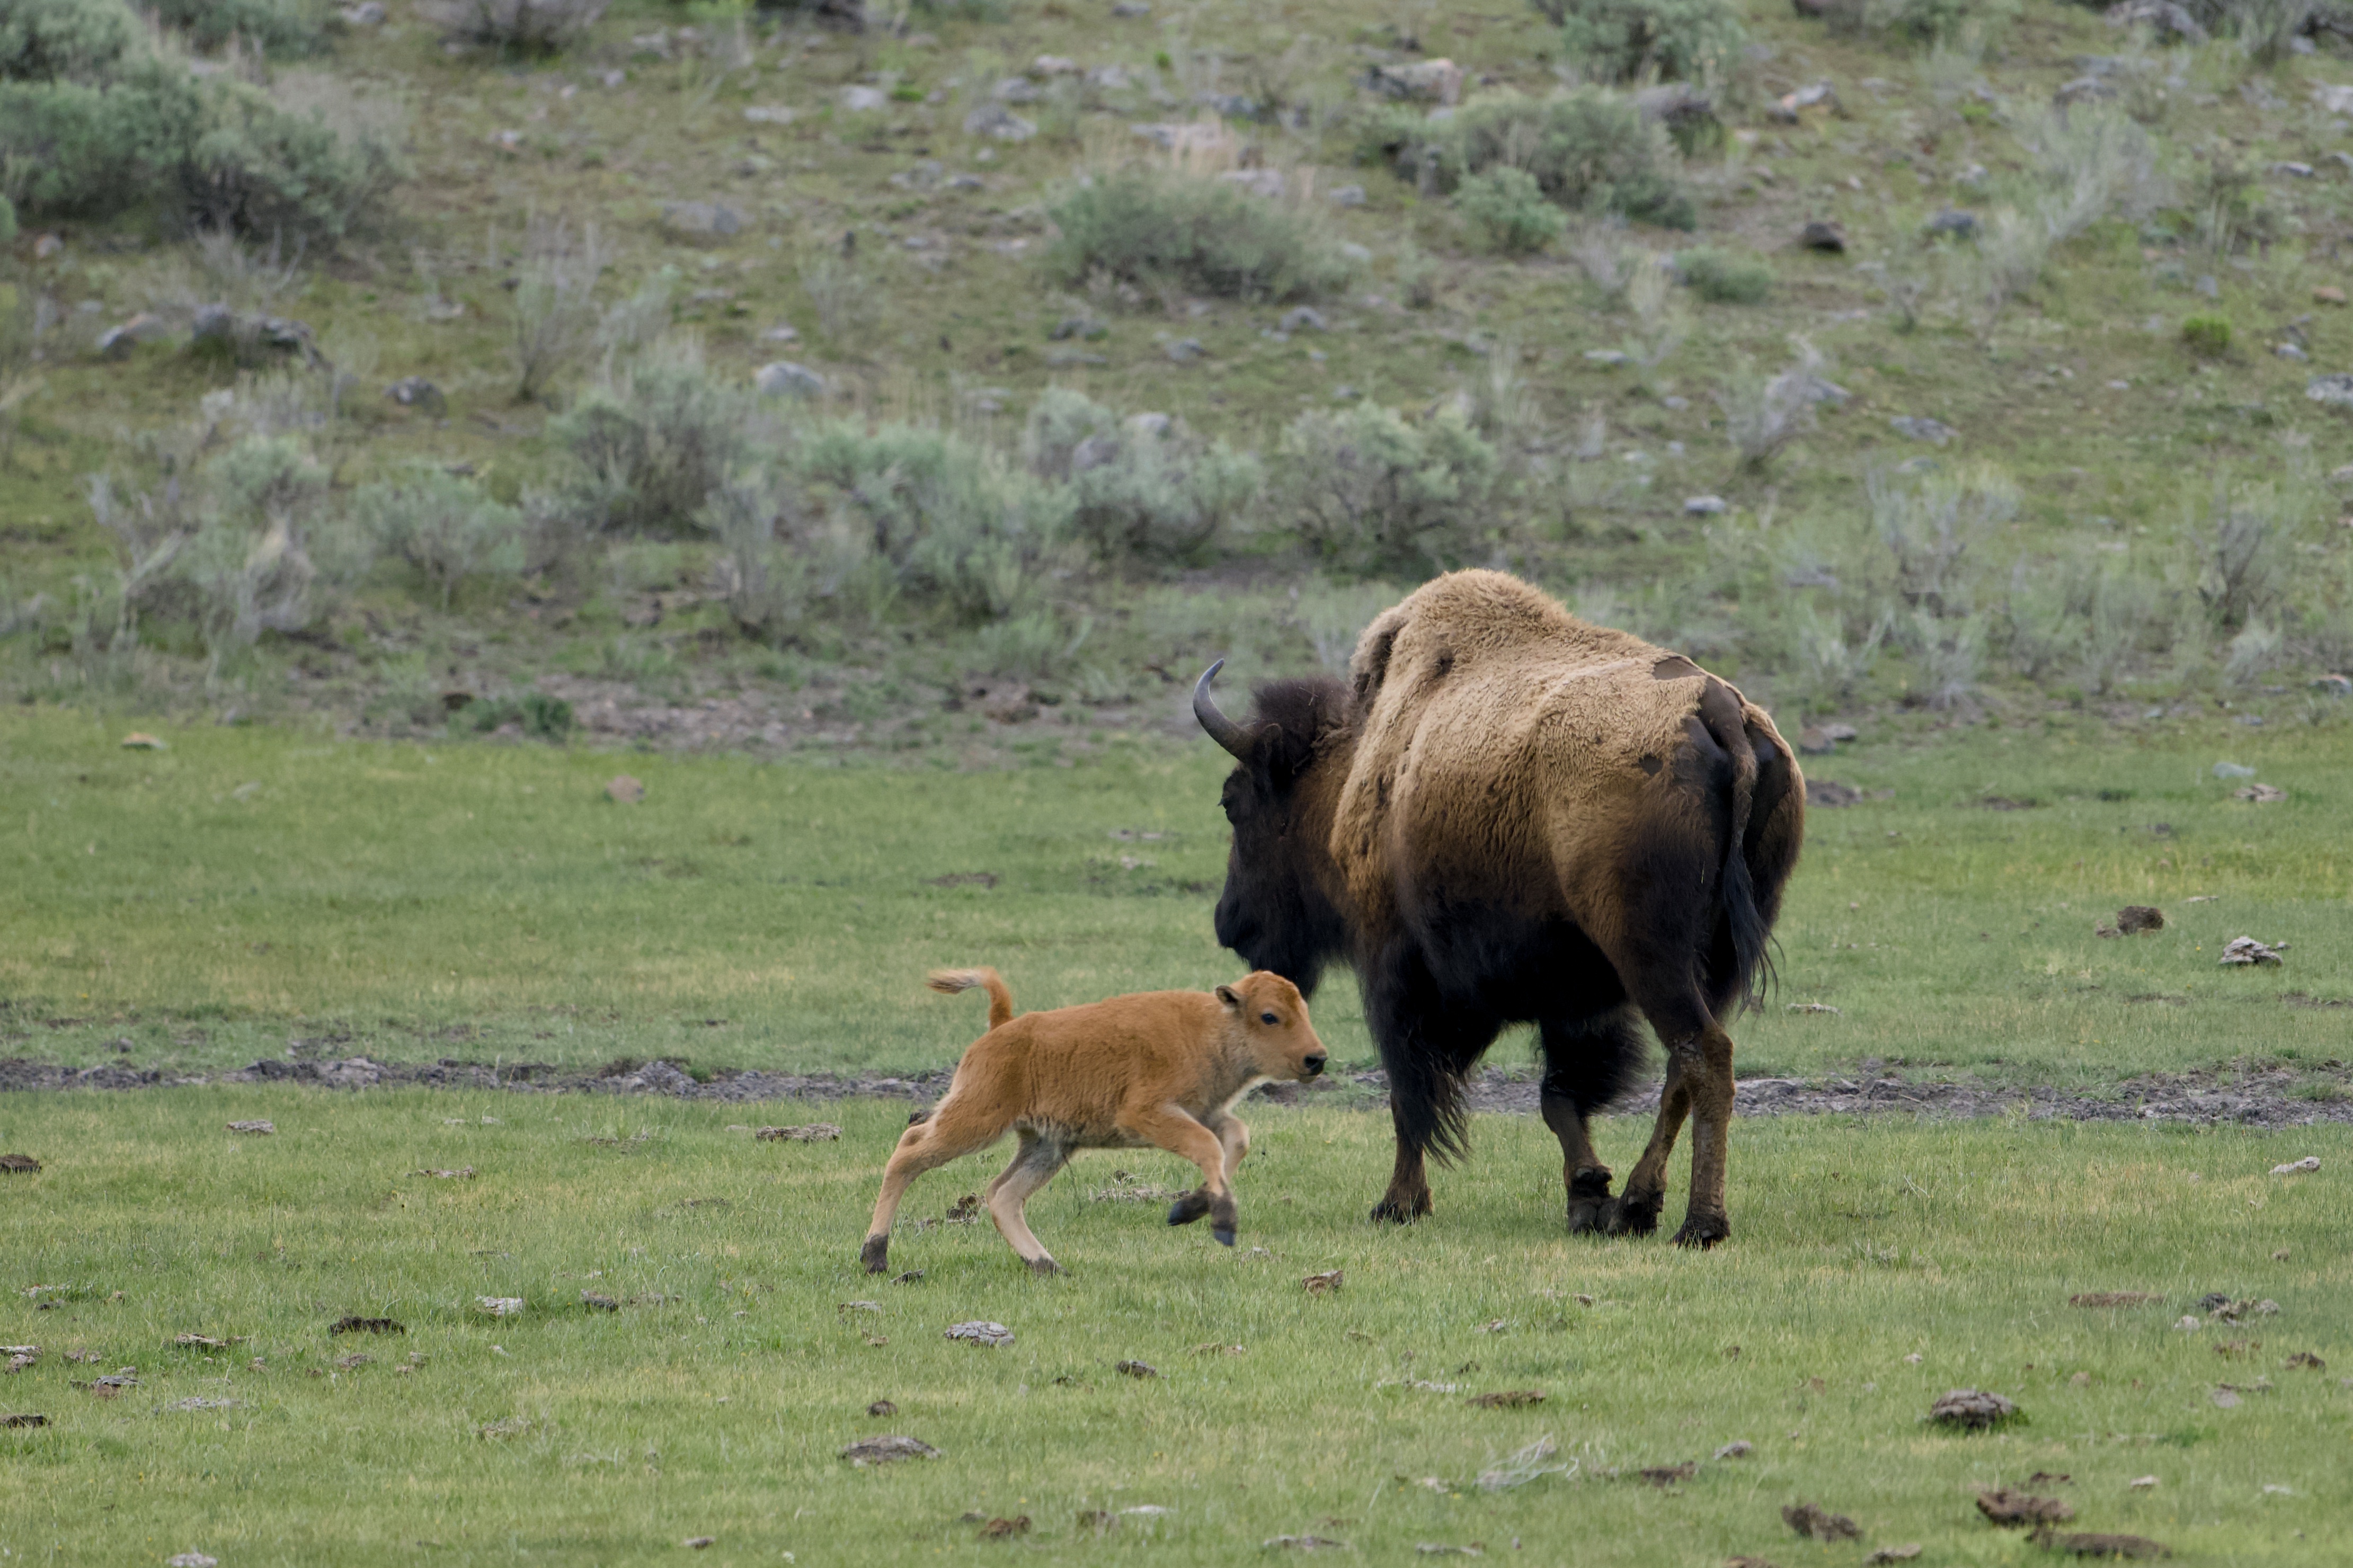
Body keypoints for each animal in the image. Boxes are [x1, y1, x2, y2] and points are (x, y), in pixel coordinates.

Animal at [1193, 570, 1803, 1246]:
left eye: (1234, 802)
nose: (1230, 921)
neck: (1363, 758)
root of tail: (1719, 712)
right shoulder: (1569, 996)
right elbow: (1559, 1095)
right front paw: (1587, 1193)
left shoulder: (1395, 968)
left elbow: (1409, 1091)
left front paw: (1399, 1202)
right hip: (1715, 960)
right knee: (1683, 1066)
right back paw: (1636, 1205)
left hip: (1650, 953)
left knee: (1703, 1054)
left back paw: (1698, 1222)